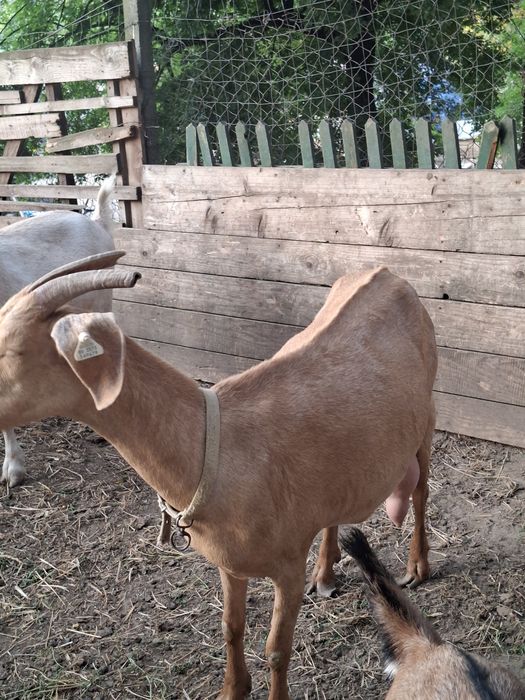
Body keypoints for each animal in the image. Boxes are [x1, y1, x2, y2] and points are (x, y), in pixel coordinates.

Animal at [0, 259, 437, 699]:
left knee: (421, 491)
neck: (219, 450)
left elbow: (277, 650)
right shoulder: (229, 563)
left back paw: (416, 567)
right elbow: (231, 628)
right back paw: (326, 575)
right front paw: (232, 688)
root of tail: (386, 271)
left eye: (14, 350)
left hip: (428, 413)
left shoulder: (288, 565)